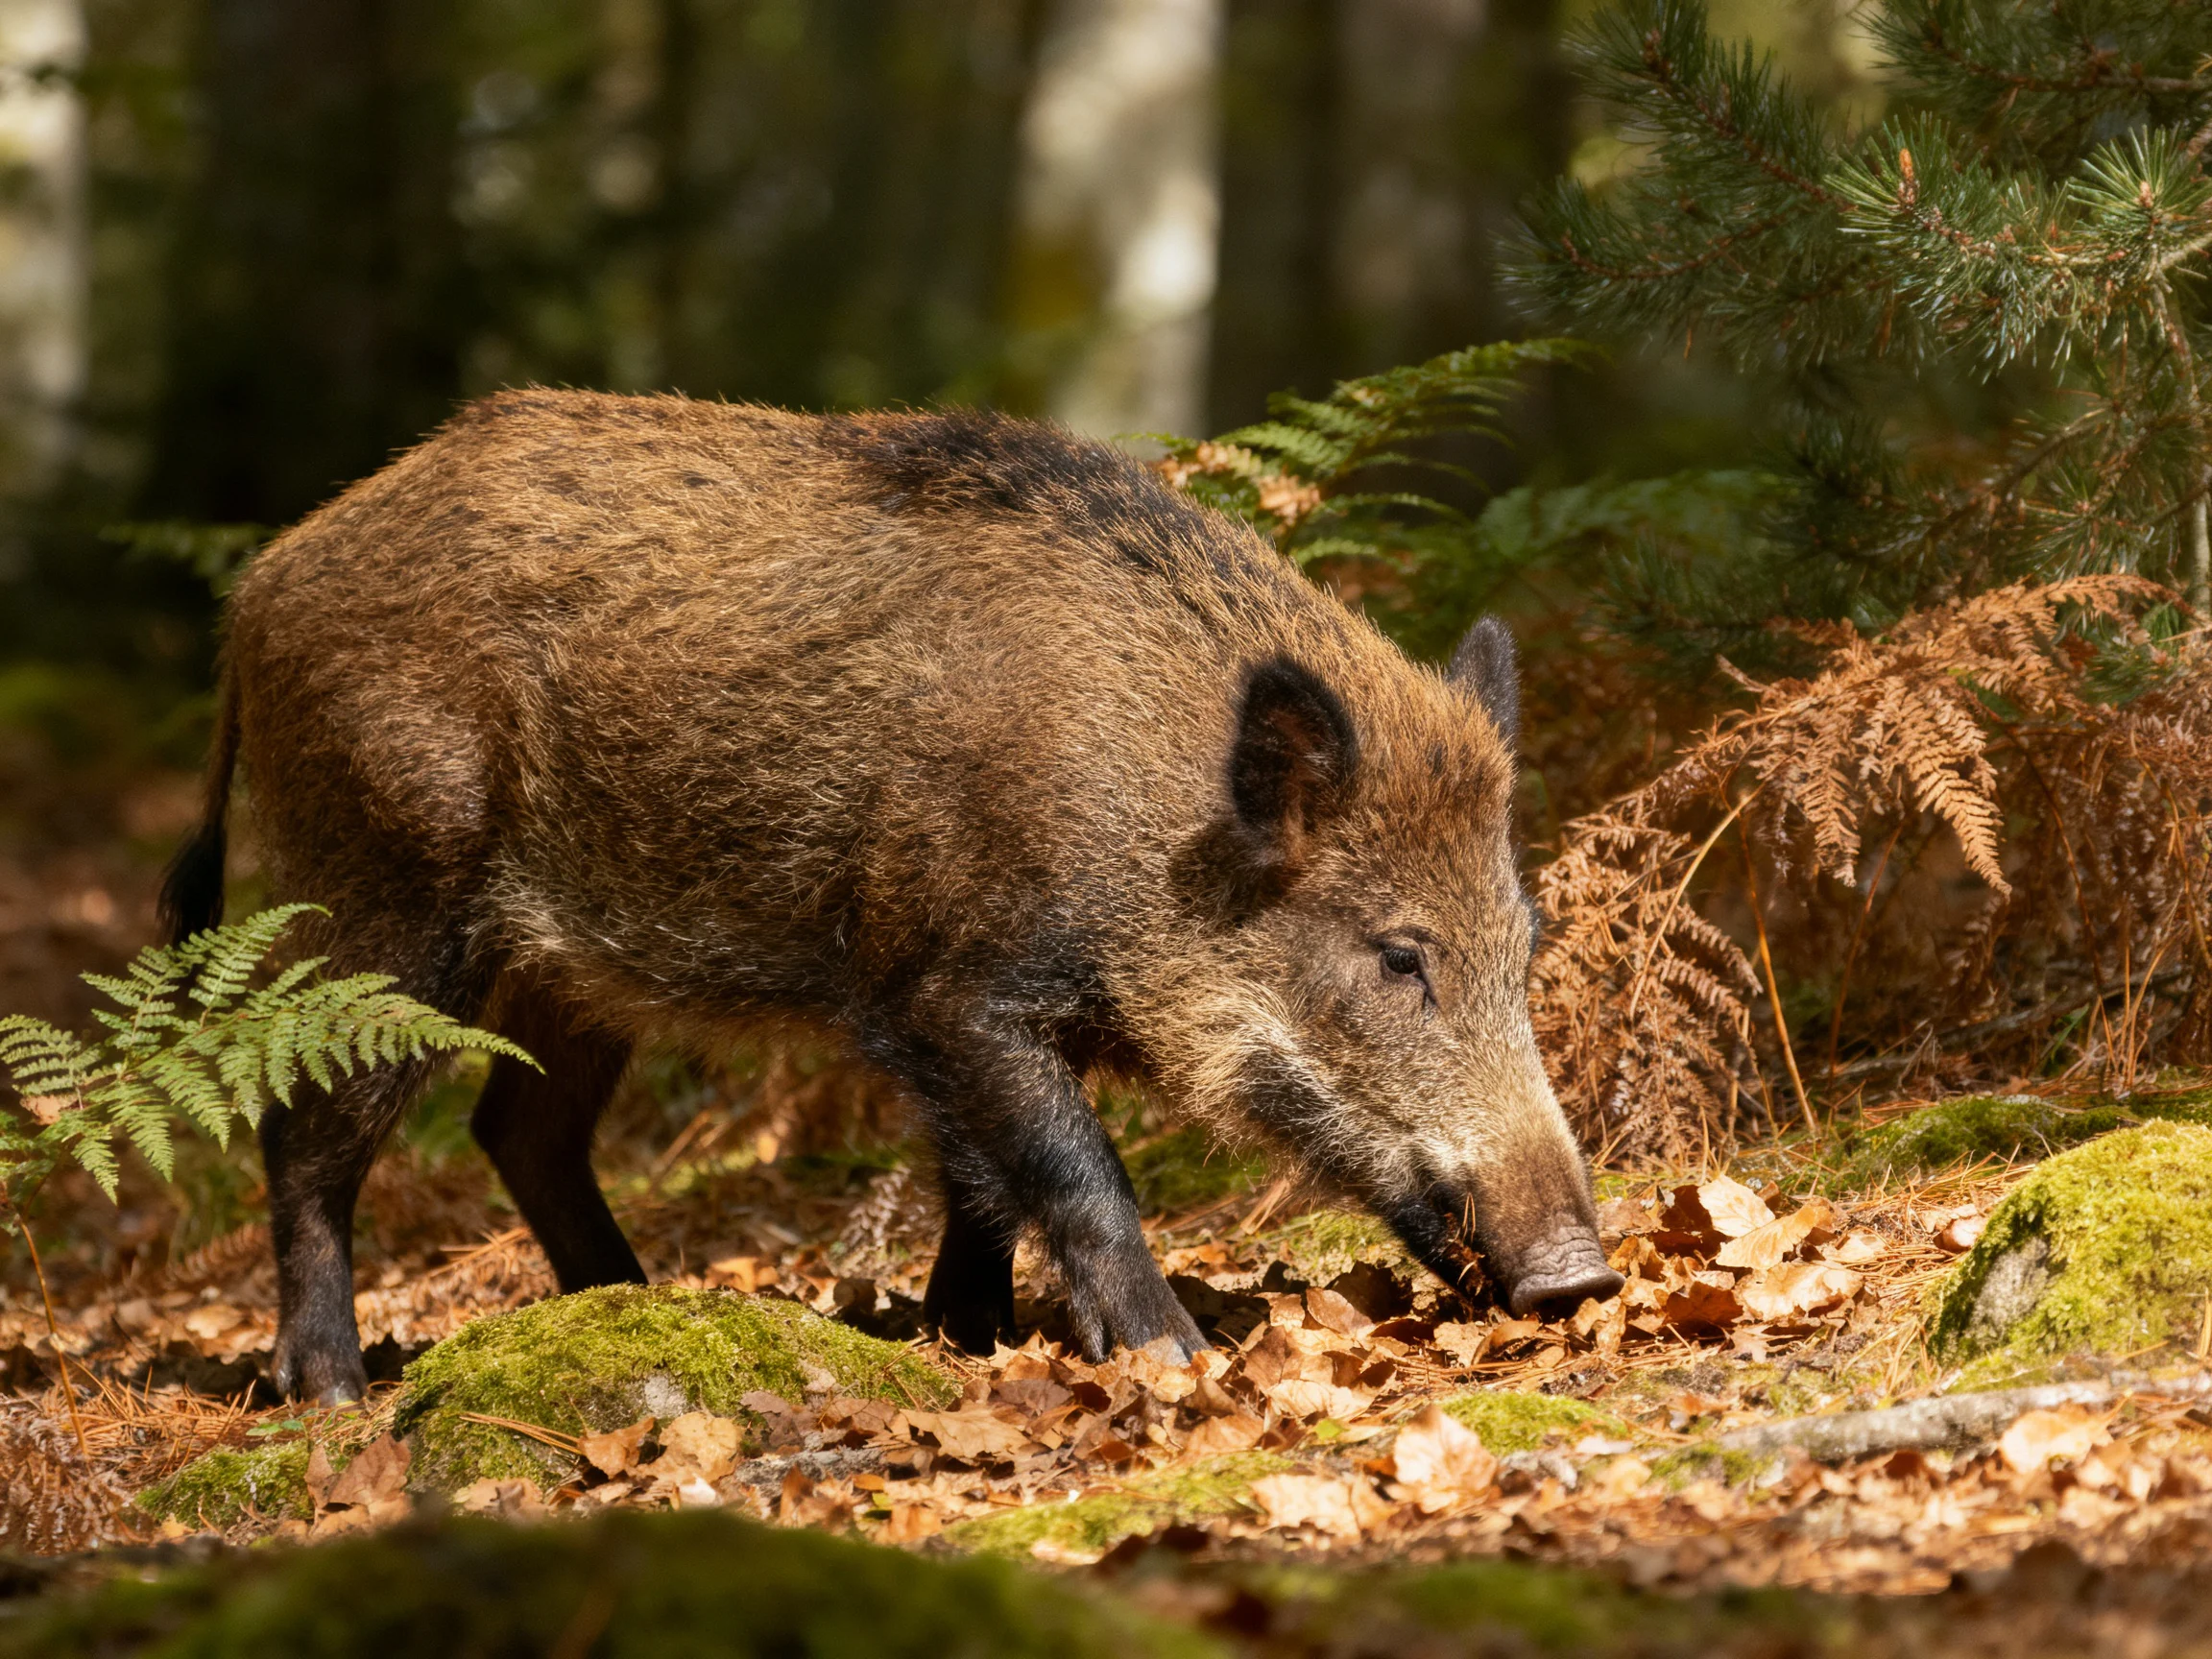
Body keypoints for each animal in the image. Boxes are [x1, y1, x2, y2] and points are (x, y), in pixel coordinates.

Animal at [158, 391, 1623, 1403]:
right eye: (1397, 956)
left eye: (1525, 946)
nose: (1581, 1274)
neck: (1151, 820)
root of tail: (263, 587)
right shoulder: (945, 987)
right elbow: (1071, 1171)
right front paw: (1168, 1357)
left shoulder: (943, 1016)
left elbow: (978, 1186)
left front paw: (965, 1338)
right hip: (387, 888)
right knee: (304, 1129)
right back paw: (333, 1392)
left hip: (571, 964)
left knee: (521, 1128)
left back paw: (641, 1309)